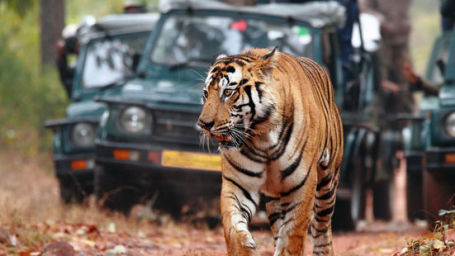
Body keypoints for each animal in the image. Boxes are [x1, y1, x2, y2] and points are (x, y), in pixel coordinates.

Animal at [198, 48, 344, 256]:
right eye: (205, 93)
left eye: (227, 92)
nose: (203, 124)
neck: (262, 139)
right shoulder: (238, 184)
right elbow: (233, 228)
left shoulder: (302, 186)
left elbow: (292, 235)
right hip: (276, 198)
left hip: (327, 183)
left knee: (322, 226)